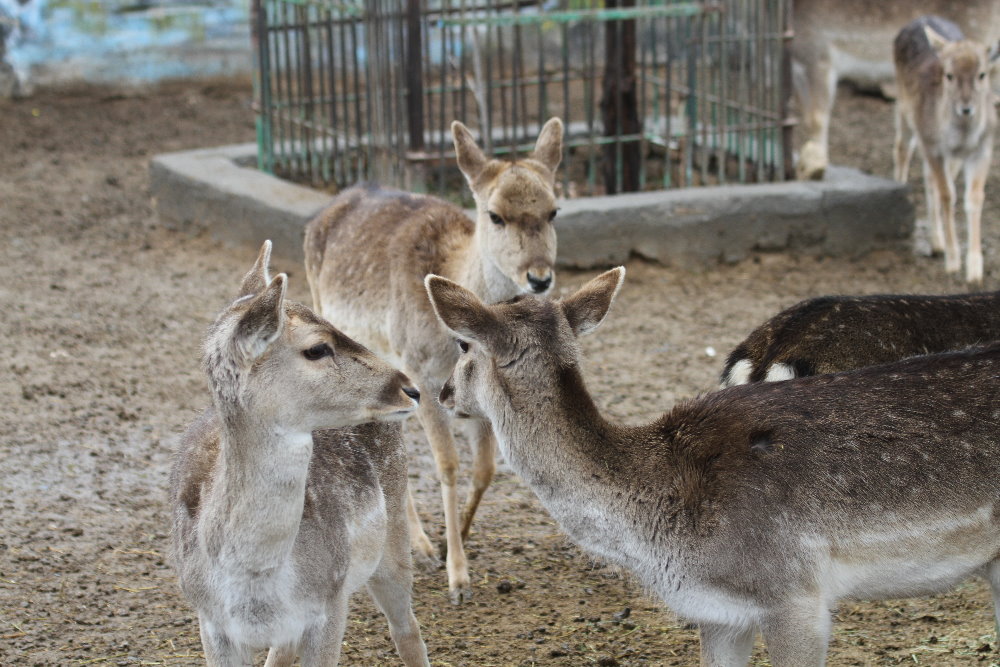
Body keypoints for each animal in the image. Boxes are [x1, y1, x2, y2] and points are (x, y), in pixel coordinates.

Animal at [170, 241, 430, 667]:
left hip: (391, 540)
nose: (410, 388)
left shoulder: (329, 602)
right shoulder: (209, 621)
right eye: (317, 348)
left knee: (406, 628)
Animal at [303, 118, 564, 604]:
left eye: (554, 210)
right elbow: (448, 465)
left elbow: (485, 467)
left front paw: (454, 539)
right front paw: (457, 576)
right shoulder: (422, 372)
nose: (539, 277)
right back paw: (416, 546)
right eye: (495, 215)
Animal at [892, 15, 1000, 284]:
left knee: (930, 177)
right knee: (901, 148)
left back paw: (936, 242)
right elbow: (947, 195)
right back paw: (896, 192)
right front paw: (952, 262)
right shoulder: (933, 146)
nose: (966, 108)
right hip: (903, 108)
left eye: (982, 74)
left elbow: (974, 197)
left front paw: (974, 270)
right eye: (949, 75)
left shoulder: (982, 149)